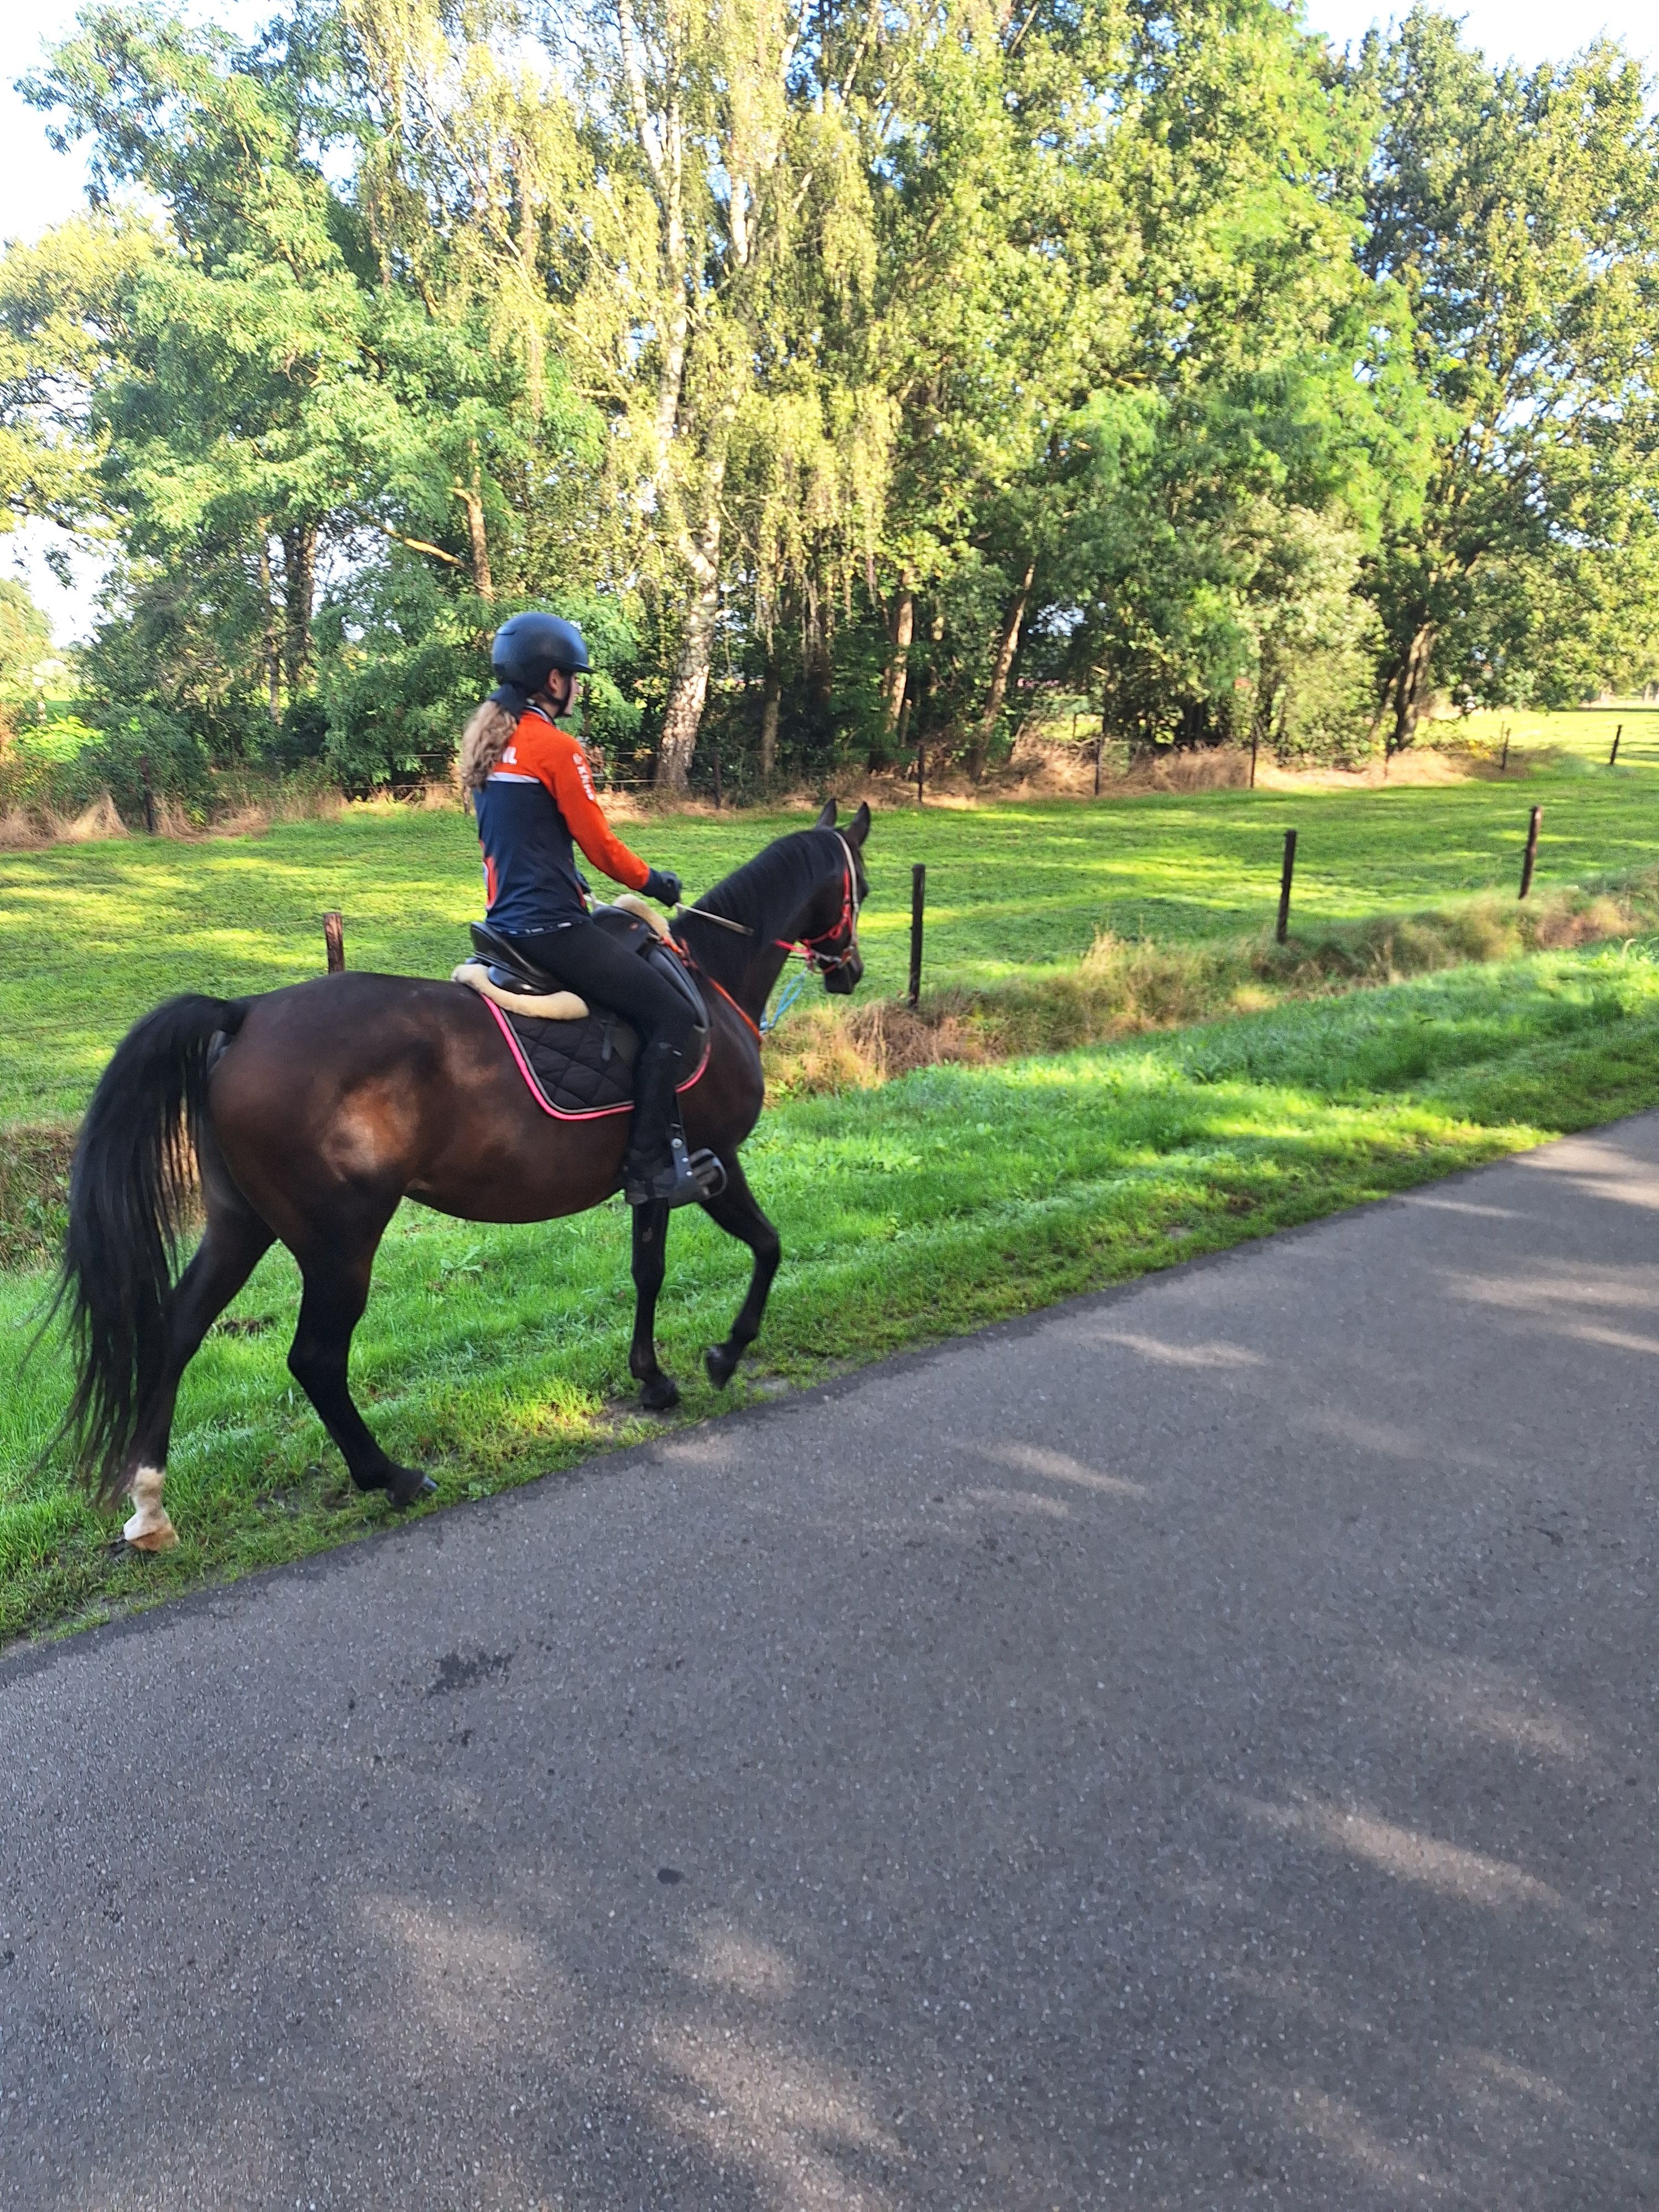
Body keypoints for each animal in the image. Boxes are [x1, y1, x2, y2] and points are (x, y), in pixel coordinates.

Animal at [52, 800, 871, 1553]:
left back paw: (151, 1507)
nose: (851, 971)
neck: (710, 984)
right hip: (338, 1243)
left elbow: (649, 1269)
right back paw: (391, 1476)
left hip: (240, 1225)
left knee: (179, 1330)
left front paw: (654, 1378)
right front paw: (726, 1355)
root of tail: (244, 1013)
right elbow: (767, 1245)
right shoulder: (716, 1158)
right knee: (315, 1359)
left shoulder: (656, 1179)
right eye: (861, 882)